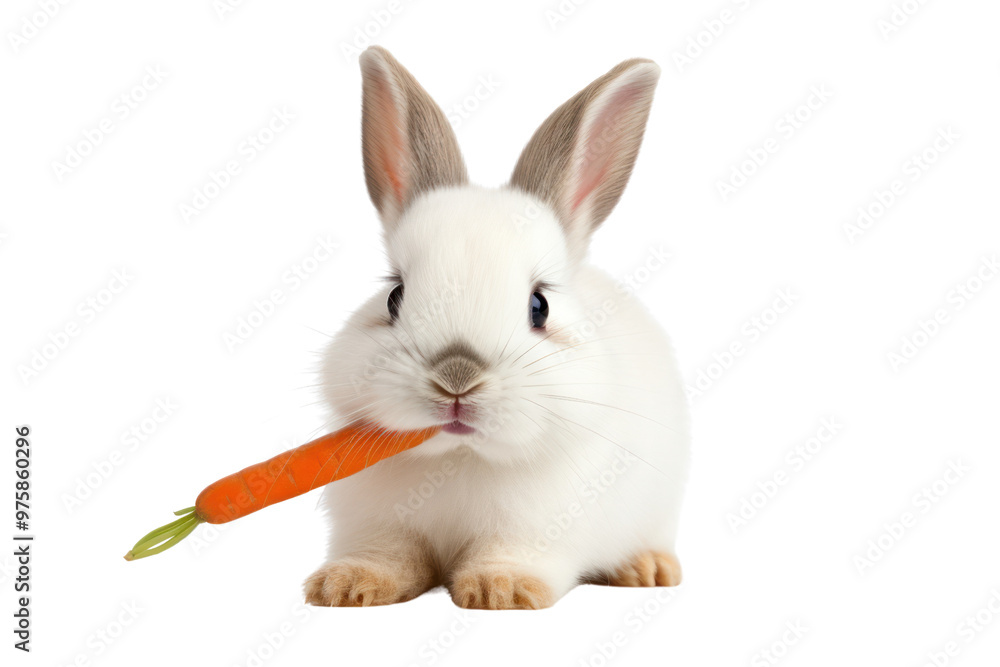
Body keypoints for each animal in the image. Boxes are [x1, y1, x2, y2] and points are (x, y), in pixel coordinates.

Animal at [304, 46, 689, 610]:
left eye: (539, 306)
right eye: (395, 296)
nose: (457, 378)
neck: (461, 459)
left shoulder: (532, 531)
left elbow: (510, 556)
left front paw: (499, 591)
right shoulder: (377, 525)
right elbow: (388, 556)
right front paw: (347, 585)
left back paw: (649, 569)